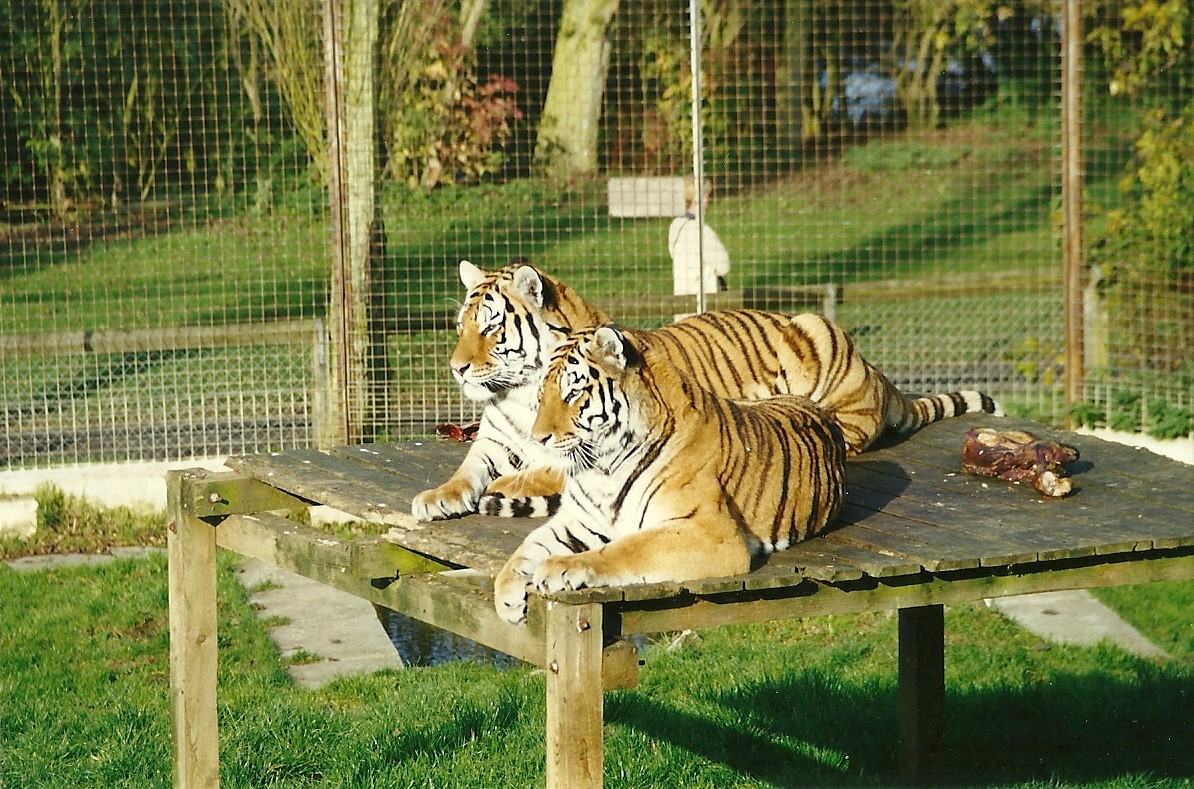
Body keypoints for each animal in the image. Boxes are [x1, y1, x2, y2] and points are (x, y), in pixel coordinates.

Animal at [410, 259, 1002, 522]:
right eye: (459, 326)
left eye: (490, 327)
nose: (456, 368)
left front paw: (511, 484)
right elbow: (466, 470)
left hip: (819, 339)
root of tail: (878, 376)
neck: (515, 394)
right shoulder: (491, 441)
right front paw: (436, 497)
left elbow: (546, 466)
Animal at [493, 325, 847, 624]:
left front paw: (561, 567)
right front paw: (506, 597)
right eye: (542, 395)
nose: (538, 438)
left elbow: (627, 549)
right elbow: (527, 548)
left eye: (572, 393)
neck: (602, 466)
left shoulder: (712, 534)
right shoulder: (580, 521)